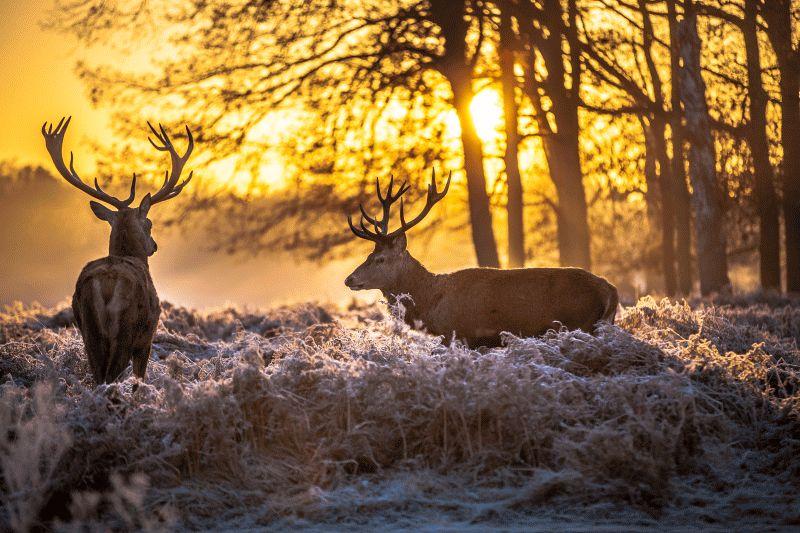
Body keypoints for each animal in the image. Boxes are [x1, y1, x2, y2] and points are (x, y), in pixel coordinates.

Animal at [41, 117, 195, 384]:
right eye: (149, 223)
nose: (154, 246)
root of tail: (106, 284)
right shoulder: (147, 337)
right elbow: (139, 379)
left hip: (88, 330)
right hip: (126, 329)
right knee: (110, 377)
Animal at [345, 170, 619, 348]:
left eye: (380, 259)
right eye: (369, 254)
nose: (349, 279)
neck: (431, 303)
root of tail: (610, 290)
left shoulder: (458, 334)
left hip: (578, 323)